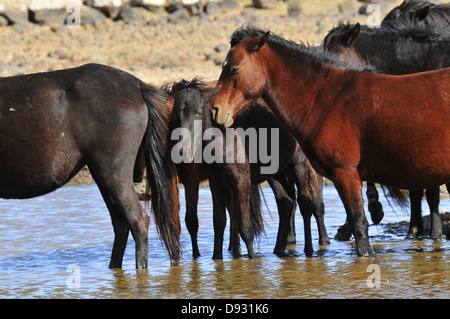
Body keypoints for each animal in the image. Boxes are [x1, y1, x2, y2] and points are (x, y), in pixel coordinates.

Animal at [167, 78, 328, 260]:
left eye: (198, 112)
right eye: (175, 113)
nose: (182, 151)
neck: (223, 142)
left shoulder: (241, 181)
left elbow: (245, 226)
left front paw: (251, 258)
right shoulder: (216, 184)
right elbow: (219, 221)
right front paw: (217, 258)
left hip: (298, 164)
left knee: (304, 203)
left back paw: (308, 249)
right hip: (276, 174)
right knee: (286, 202)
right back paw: (278, 250)